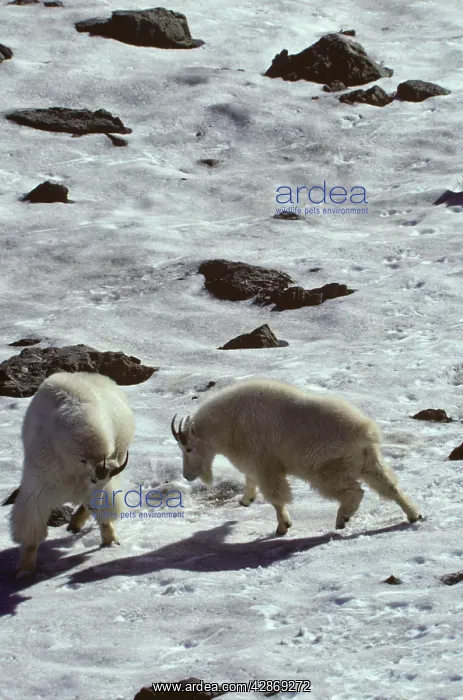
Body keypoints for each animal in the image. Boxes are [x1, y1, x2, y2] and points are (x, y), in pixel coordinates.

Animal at [9, 371, 134, 575]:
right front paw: (25, 568)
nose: (94, 506)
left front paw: (110, 540)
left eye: (102, 482)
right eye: (93, 479)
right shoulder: (38, 486)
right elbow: (32, 527)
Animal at [171, 378, 422, 535]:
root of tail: (366, 431)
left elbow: (275, 496)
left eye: (188, 449)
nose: (188, 476)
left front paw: (282, 527)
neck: (226, 424)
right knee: (389, 486)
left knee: (354, 490)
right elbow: (250, 480)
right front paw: (245, 501)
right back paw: (413, 515)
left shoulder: (264, 465)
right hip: (368, 462)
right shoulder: (255, 464)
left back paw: (342, 518)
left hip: (325, 469)